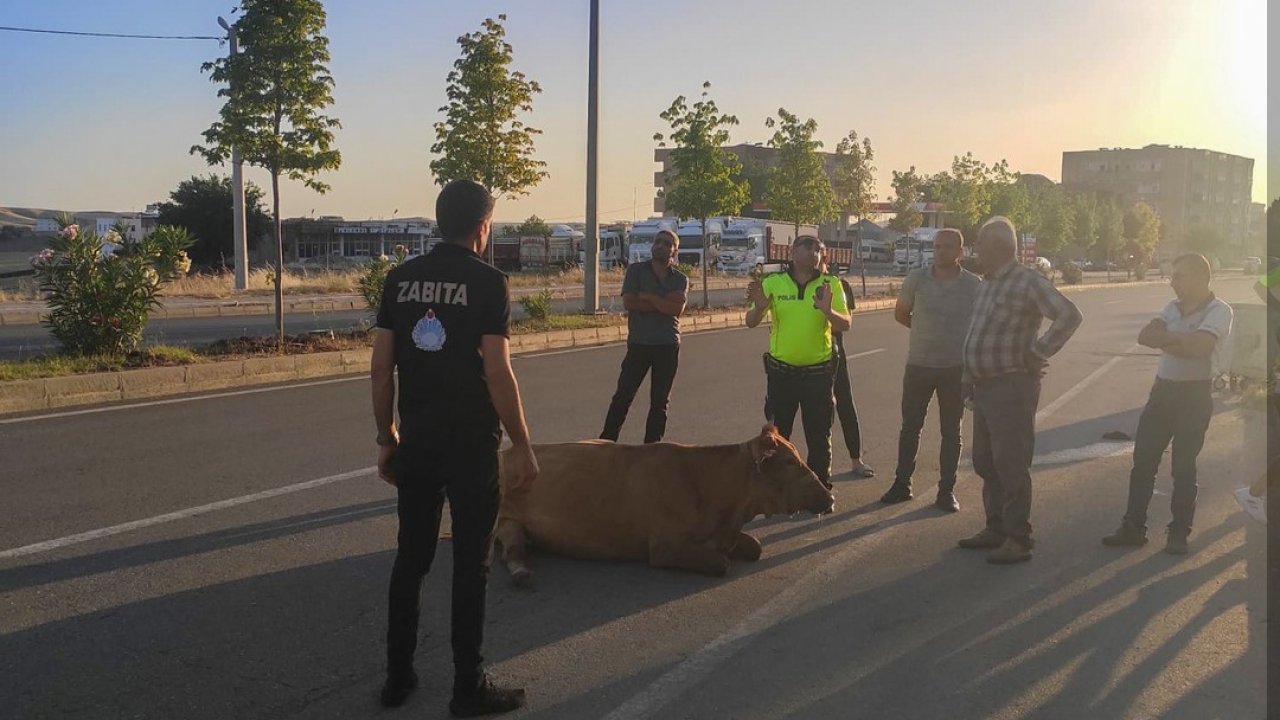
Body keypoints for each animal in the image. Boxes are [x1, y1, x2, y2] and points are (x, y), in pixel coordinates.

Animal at [494, 422, 834, 579]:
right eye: (789, 462)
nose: (829, 495)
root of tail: (506, 453)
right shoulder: (663, 547)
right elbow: (721, 563)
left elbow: (757, 546)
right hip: (505, 517)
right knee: (512, 548)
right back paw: (521, 572)